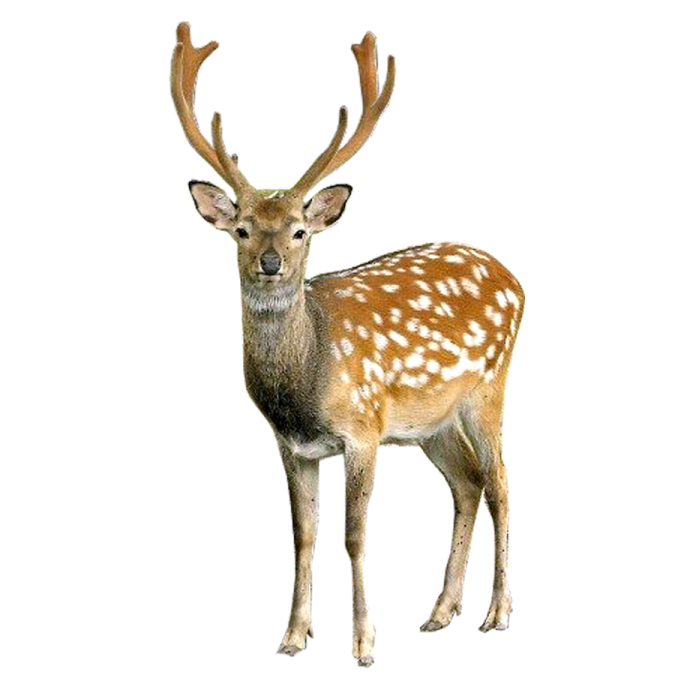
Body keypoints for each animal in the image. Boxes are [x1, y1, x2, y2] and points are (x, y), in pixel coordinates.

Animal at [170, 21, 525, 668]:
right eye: (241, 229)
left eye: (299, 231)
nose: (269, 263)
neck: (306, 382)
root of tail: (513, 277)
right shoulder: (292, 444)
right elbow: (305, 532)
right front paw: (291, 636)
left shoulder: (363, 427)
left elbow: (353, 531)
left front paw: (363, 642)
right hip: (429, 423)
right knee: (467, 484)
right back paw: (439, 614)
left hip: (490, 386)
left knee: (502, 481)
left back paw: (496, 614)